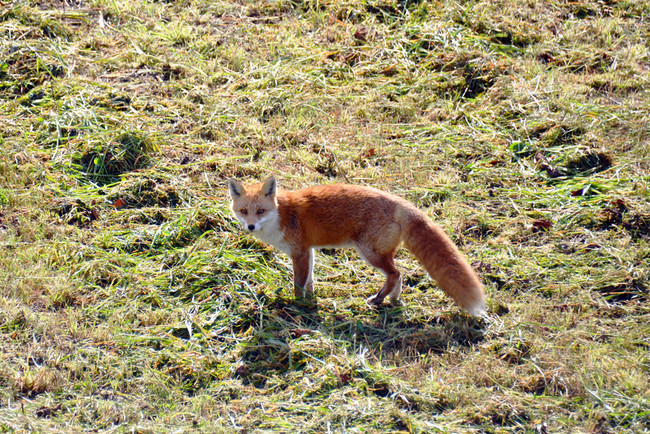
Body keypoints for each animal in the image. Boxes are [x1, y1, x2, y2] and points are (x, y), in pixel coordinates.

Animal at [228, 175, 486, 316]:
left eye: (261, 211)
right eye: (244, 211)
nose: (250, 227)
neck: (281, 215)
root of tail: (401, 203)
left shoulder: (299, 252)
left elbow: (299, 284)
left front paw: (297, 306)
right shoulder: (308, 251)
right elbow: (310, 281)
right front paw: (310, 301)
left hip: (369, 253)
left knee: (395, 274)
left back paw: (378, 299)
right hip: (379, 253)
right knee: (400, 274)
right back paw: (392, 299)